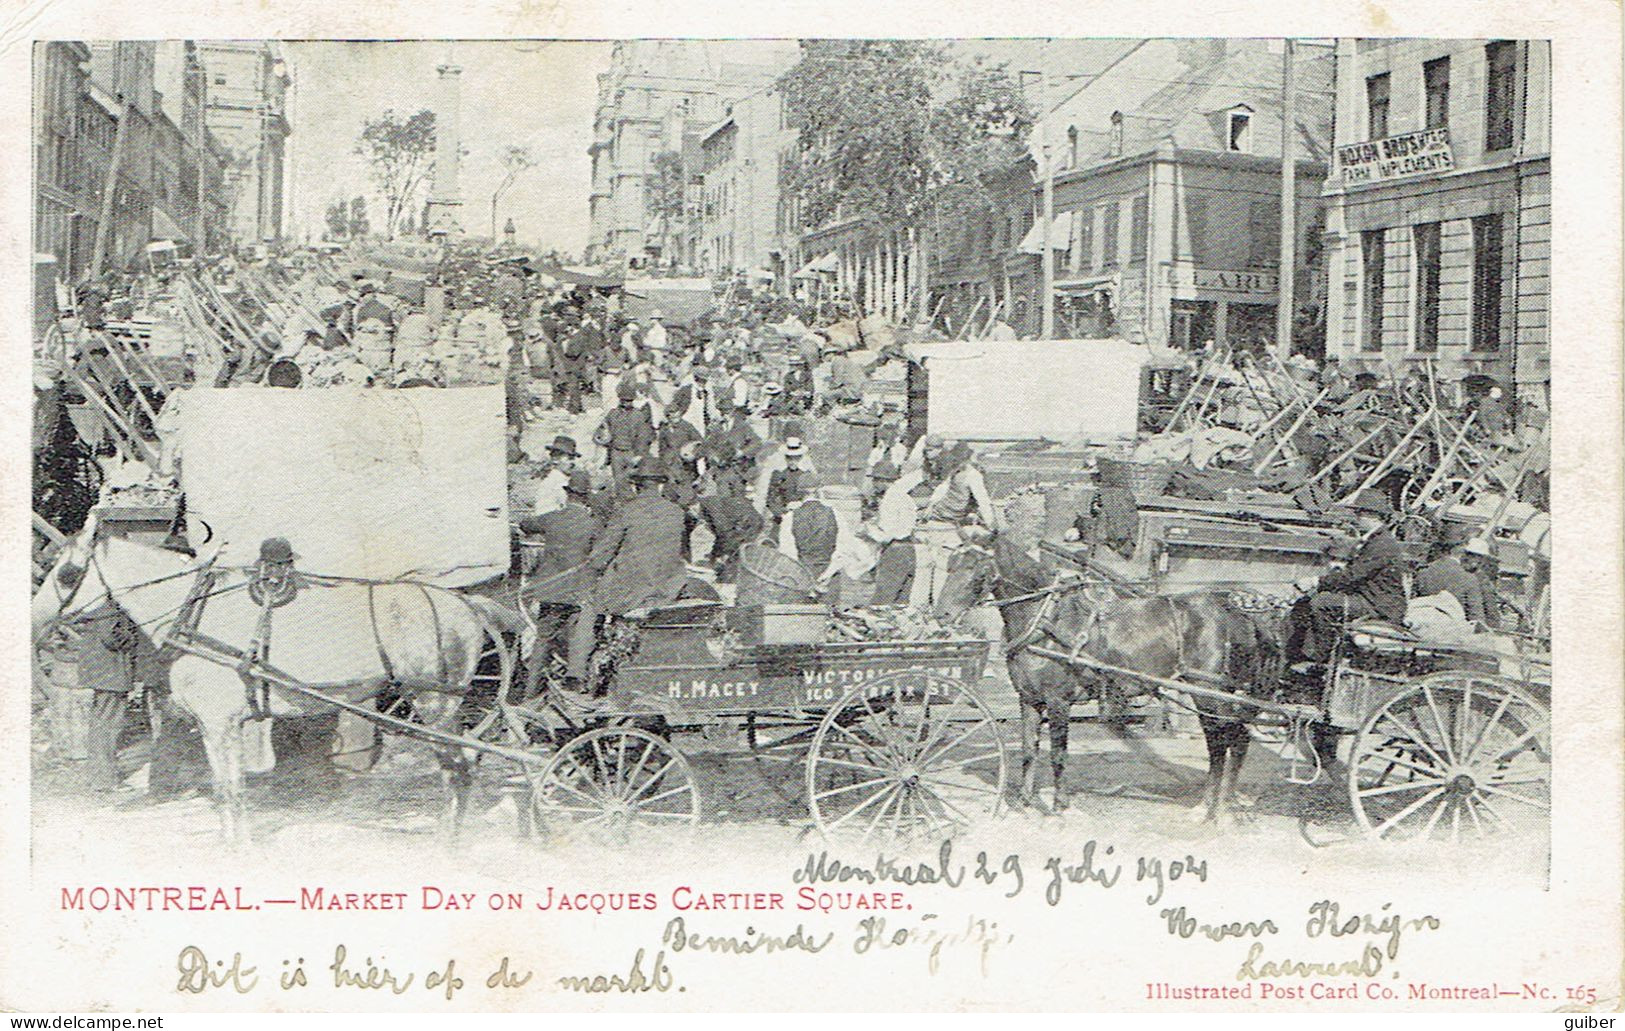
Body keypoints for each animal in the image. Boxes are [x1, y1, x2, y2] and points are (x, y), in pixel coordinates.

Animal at [33, 526, 513, 839]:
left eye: (67, 573)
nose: (38, 619)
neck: (193, 612)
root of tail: (468, 603)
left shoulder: (219, 724)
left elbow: (229, 790)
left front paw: (236, 846)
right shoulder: (220, 726)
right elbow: (229, 789)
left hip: (435, 703)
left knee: (457, 771)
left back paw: (447, 844)